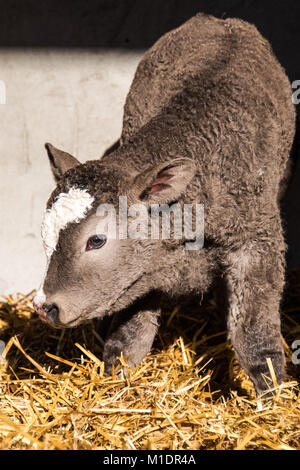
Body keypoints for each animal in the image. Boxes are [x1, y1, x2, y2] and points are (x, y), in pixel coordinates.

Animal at [34, 14, 294, 394]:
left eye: (96, 240)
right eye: (46, 236)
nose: (45, 306)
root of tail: (220, 20)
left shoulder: (257, 242)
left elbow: (255, 338)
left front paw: (270, 393)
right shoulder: (143, 269)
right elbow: (129, 337)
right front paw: (117, 380)